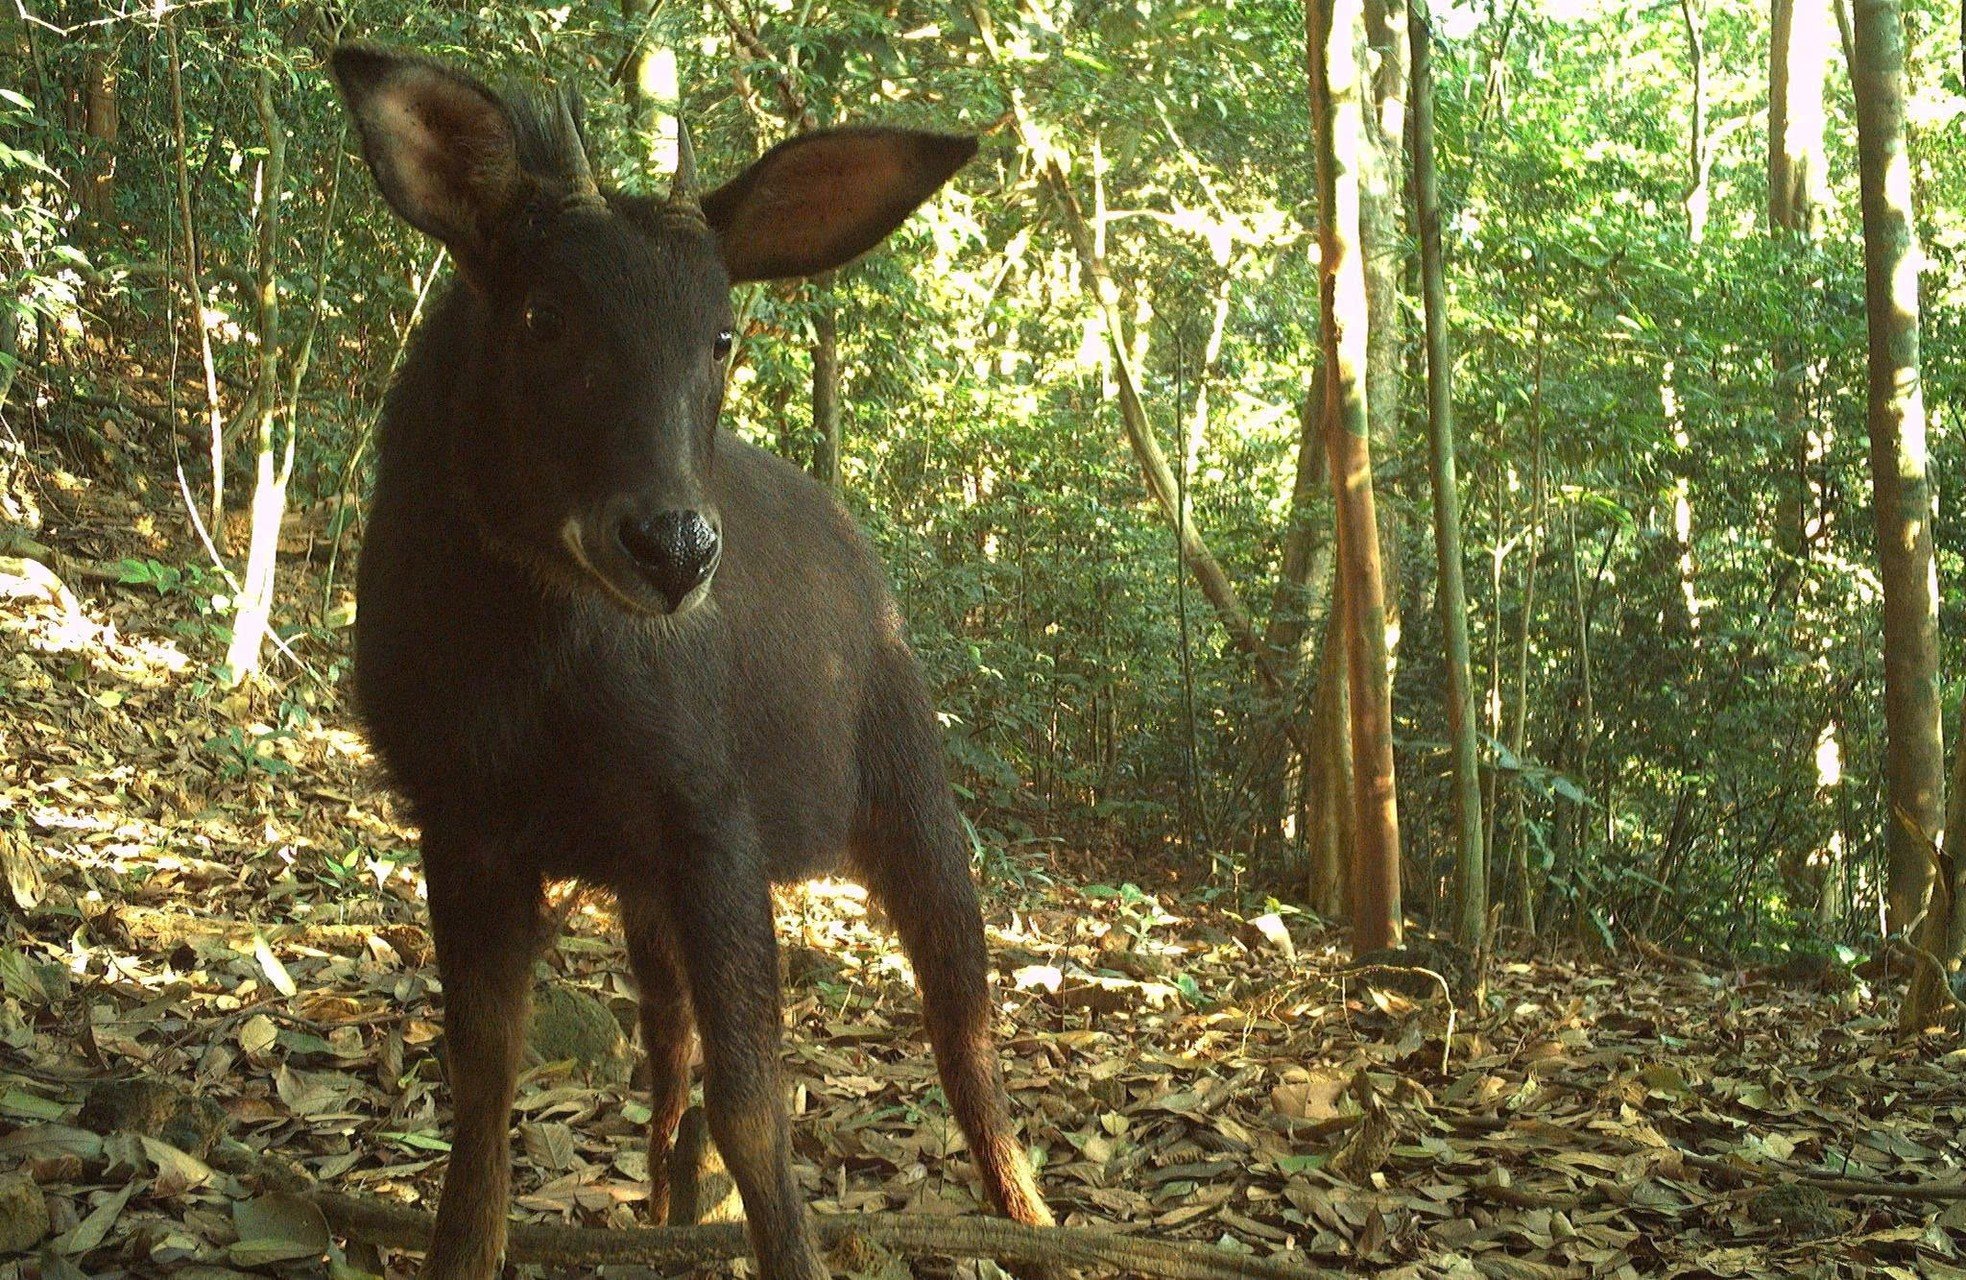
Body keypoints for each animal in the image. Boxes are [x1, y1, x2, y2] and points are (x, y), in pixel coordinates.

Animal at [330, 42, 1053, 1280]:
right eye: (543, 314)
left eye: (720, 335)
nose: (671, 545)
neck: (519, 685)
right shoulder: (461, 811)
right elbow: (485, 1075)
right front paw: (466, 1246)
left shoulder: (709, 803)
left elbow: (758, 1096)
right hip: (642, 875)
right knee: (669, 1040)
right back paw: (668, 1202)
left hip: (908, 786)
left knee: (962, 1019)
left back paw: (1033, 1217)